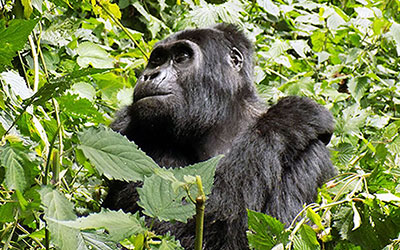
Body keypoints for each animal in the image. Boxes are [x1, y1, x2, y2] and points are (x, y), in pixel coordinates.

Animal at [104, 23, 338, 250]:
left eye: (182, 57)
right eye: (157, 60)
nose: (150, 75)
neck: (221, 121)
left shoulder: (313, 153)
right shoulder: (128, 126)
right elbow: (166, 222)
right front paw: (291, 117)